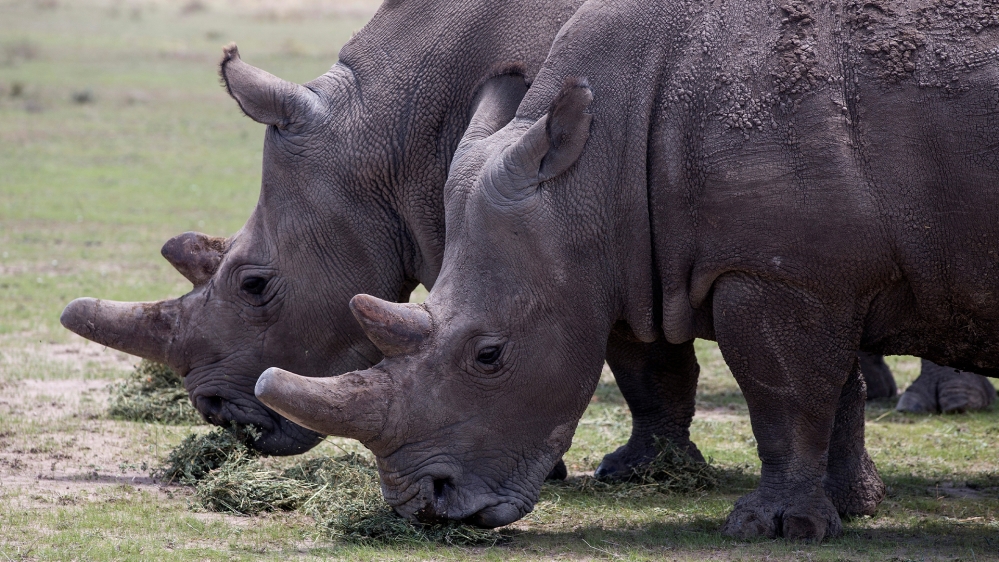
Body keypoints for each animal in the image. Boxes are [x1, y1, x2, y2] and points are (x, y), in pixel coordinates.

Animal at [59, 0, 706, 474]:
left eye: (255, 285)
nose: (217, 413)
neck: (391, 134)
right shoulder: (609, 235)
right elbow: (646, 356)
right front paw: (646, 469)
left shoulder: (587, 229)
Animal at [256, 0, 999, 540]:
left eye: (489, 356)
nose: (424, 507)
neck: (594, 163)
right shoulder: (815, 272)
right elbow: (825, 392)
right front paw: (849, 508)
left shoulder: (780, 275)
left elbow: (785, 398)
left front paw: (772, 528)